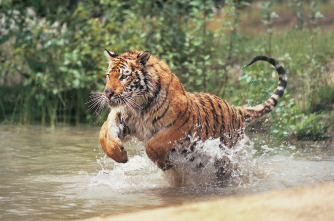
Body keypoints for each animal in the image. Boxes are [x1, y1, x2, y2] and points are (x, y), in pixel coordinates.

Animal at [89, 49, 288, 176]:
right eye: (108, 75)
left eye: (124, 76)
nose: (107, 93)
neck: (139, 105)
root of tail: (236, 110)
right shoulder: (120, 117)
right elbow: (103, 135)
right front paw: (120, 155)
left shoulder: (180, 126)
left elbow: (153, 145)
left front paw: (165, 164)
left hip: (227, 159)